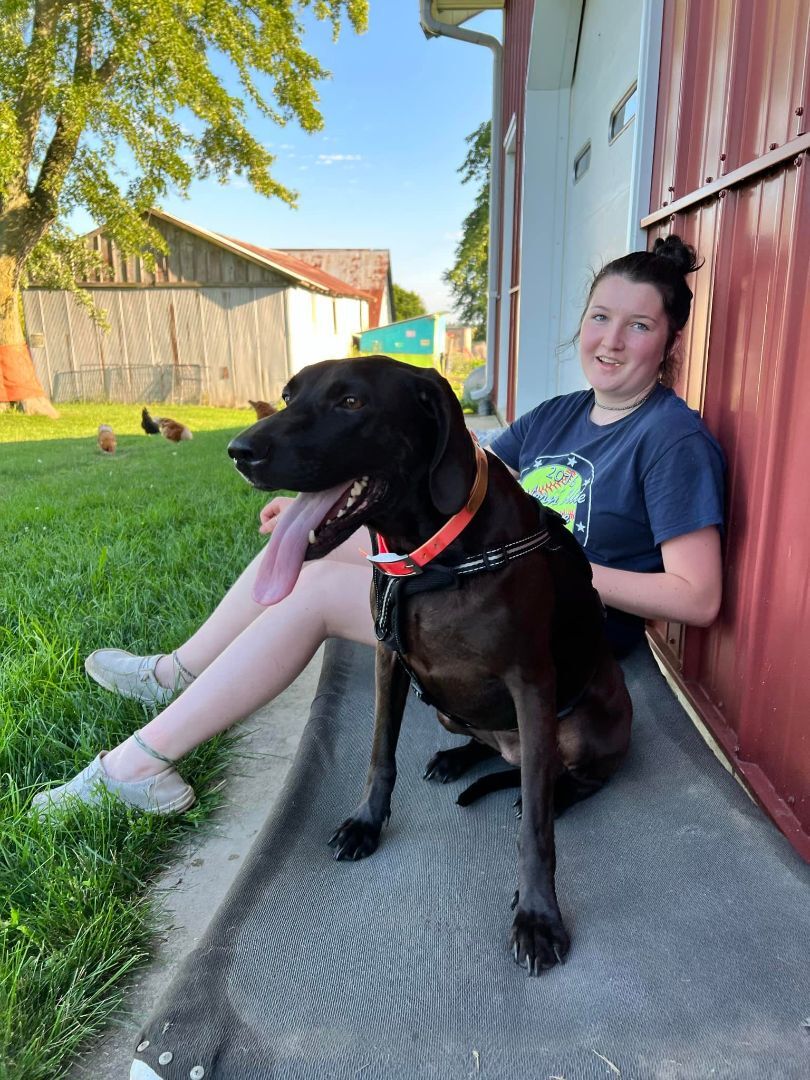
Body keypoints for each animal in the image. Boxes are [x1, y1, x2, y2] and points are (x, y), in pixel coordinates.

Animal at [228, 358, 635, 976]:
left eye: (351, 402)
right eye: (287, 396)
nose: (239, 450)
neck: (432, 557)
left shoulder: (531, 685)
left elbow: (536, 833)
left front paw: (538, 916)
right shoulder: (390, 659)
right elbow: (379, 754)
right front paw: (367, 824)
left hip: (583, 725)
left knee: (571, 778)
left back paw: (549, 790)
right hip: (443, 705)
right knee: (488, 744)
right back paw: (455, 758)